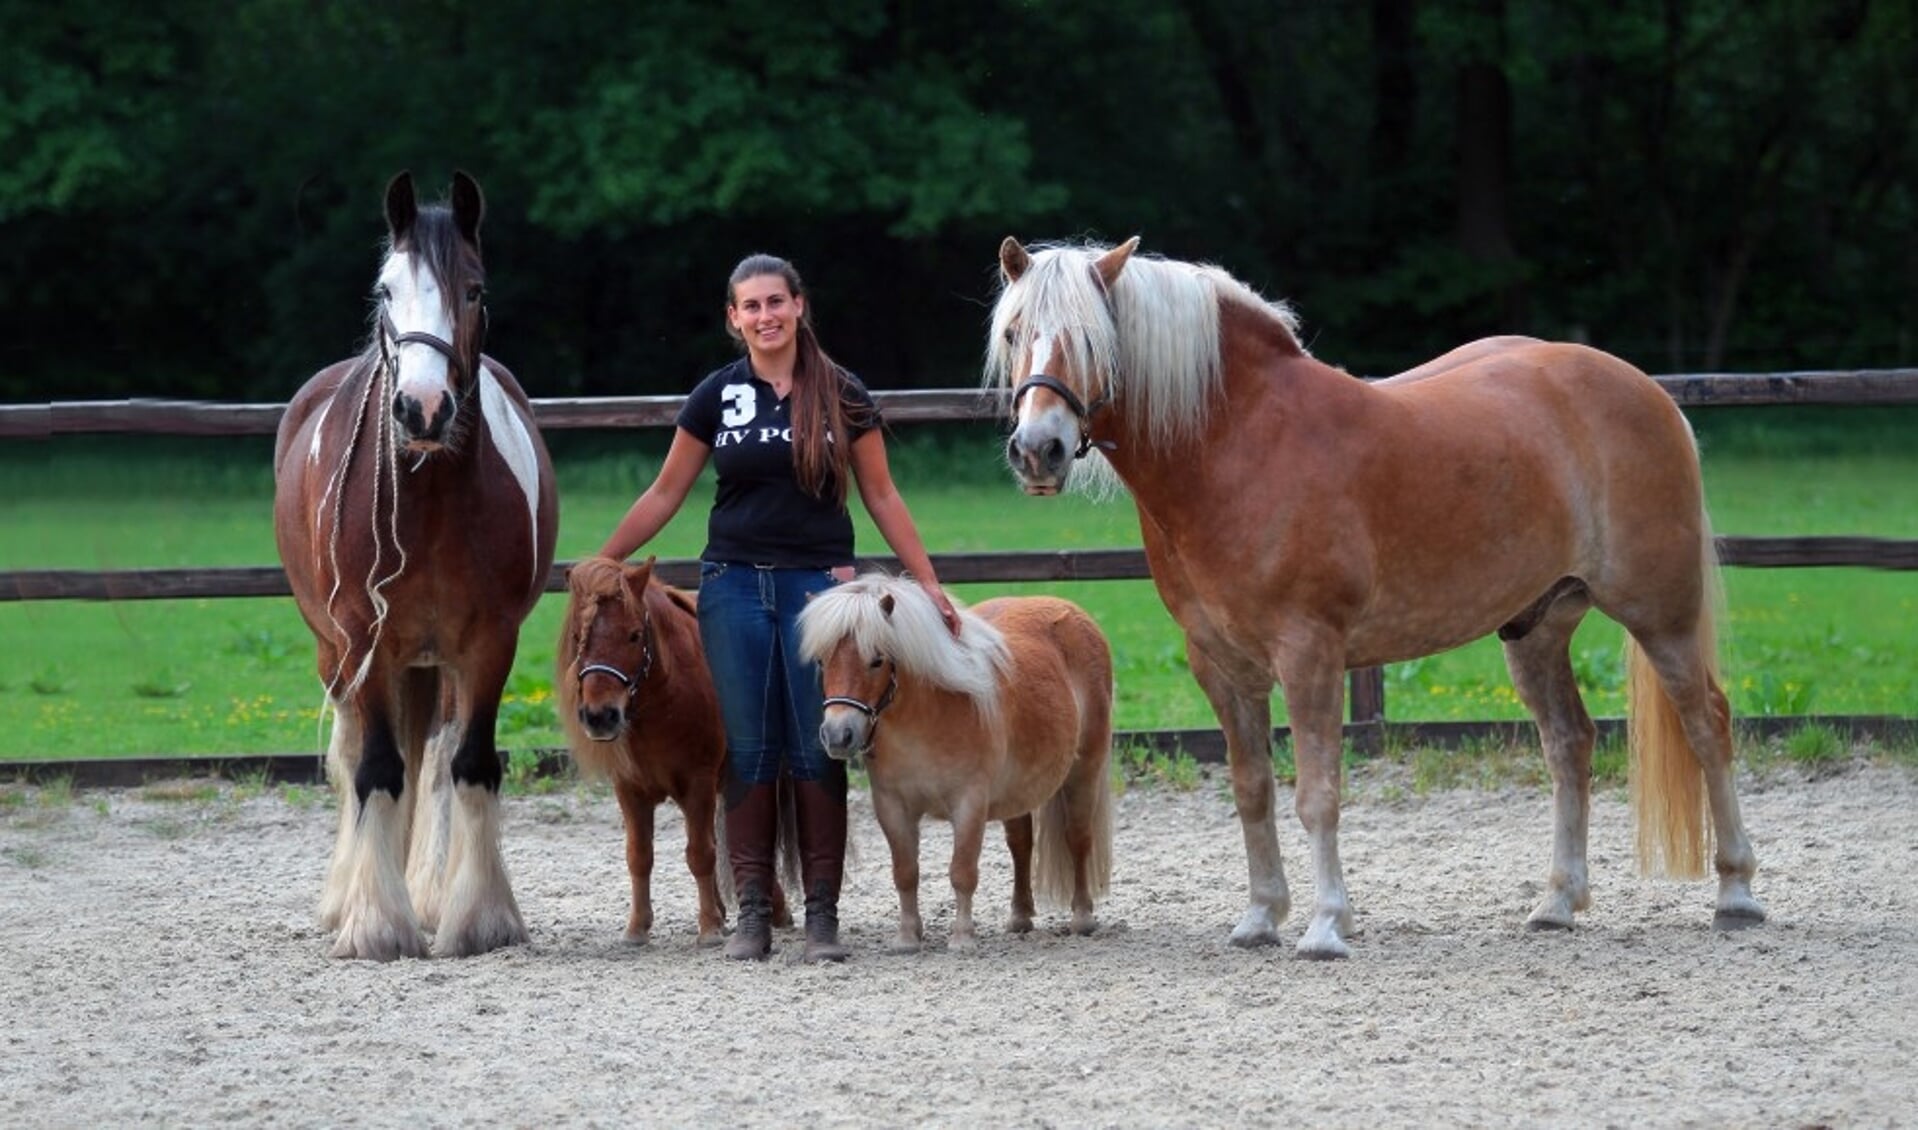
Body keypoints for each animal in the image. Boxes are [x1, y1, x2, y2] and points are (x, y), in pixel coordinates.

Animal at [270, 171, 560, 955]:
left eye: (474, 289)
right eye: (387, 288)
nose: (422, 408)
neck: (428, 499)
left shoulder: (489, 643)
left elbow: (468, 765)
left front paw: (479, 917)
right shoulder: (363, 641)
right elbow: (373, 767)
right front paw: (374, 923)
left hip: (432, 662)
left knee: (430, 759)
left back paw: (426, 892)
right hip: (337, 652)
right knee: (355, 756)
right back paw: (349, 898)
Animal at [556, 556, 794, 943]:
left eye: (634, 635)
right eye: (578, 637)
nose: (599, 716)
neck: (665, 700)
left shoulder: (698, 782)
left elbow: (700, 853)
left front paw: (708, 927)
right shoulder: (630, 790)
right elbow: (639, 855)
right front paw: (637, 927)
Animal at [794, 571, 1120, 951]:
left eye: (876, 659)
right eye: (822, 661)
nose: (837, 735)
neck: (927, 718)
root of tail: (1071, 612)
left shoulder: (969, 803)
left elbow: (962, 871)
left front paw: (962, 937)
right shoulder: (892, 806)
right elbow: (905, 872)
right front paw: (907, 937)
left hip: (1085, 772)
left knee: (1078, 838)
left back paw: (1082, 917)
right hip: (1018, 790)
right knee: (1021, 844)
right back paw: (1020, 917)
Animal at [989, 233, 1764, 955]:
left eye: (1094, 337)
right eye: (1014, 332)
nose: (1037, 451)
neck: (1239, 445)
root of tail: (1648, 392)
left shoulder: (1310, 653)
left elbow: (1317, 794)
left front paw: (1327, 925)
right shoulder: (1220, 664)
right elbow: (1251, 790)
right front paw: (1260, 917)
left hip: (1660, 615)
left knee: (1708, 725)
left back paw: (1736, 893)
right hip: (1538, 627)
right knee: (1570, 743)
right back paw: (1557, 903)